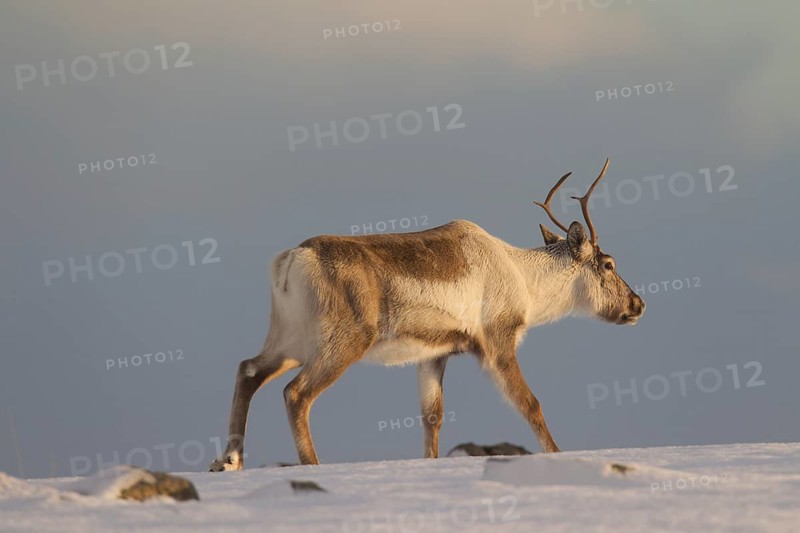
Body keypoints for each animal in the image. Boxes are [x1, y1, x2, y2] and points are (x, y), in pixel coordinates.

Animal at [209, 158, 645, 471]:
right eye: (608, 264)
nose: (638, 304)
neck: (523, 278)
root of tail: (290, 260)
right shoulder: (496, 340)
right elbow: (530, 403)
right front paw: (557, 454)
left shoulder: (434, 353)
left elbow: (432, 417)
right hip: (341, 339)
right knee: (295, 393)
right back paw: (311, 465)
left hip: (290, 339)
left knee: (248, 369)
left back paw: (229, 461)